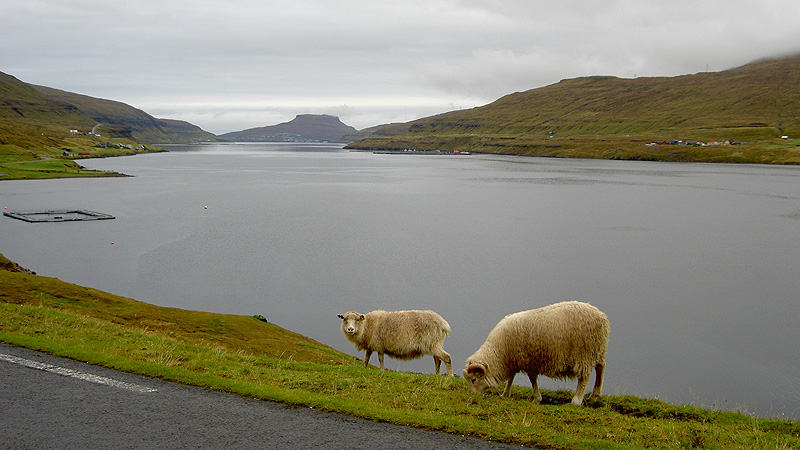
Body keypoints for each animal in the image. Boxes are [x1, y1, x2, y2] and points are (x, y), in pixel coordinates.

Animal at [460, 300, 608, 406]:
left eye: (473, 380)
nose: (471, 395)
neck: (499, 351)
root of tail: (602, 316)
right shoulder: (514, 359)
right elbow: (511, 377)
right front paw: (505, 394)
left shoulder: (528, 360)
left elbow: (532, 380)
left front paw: (537, 398)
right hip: (597, 350)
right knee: (600, 367)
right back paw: (594, 395)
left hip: (584, 353)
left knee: (584, 377)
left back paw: (576, 401)